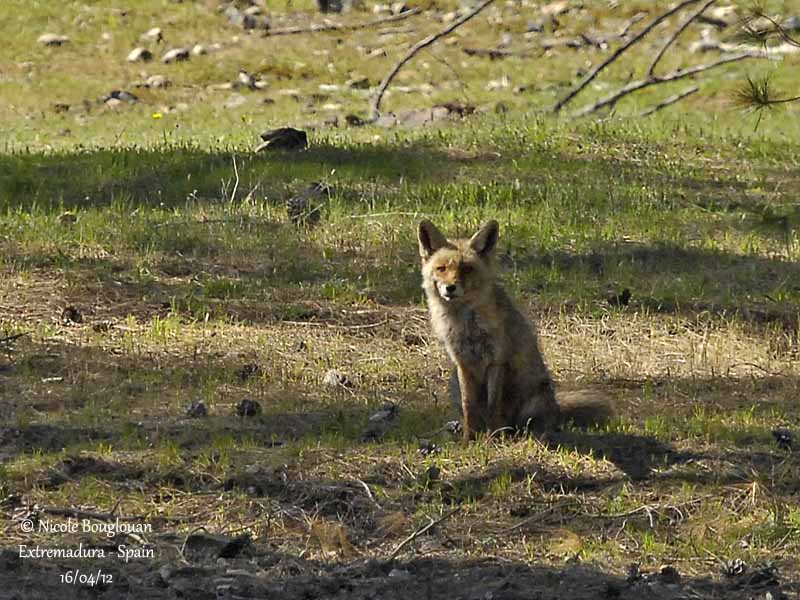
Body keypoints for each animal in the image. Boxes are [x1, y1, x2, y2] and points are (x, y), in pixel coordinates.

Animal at [416, 218, 608, 438]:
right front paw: (469, 439)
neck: (466, 324)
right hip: (453, 384)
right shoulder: (463, 364)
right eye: (441, 269)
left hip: (534, 402)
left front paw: (493, 439)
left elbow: (493, 406)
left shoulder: (497, 361)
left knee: (530, 424)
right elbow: (468, 407)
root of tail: (557, 407)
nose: (450, 288)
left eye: (467, 269)